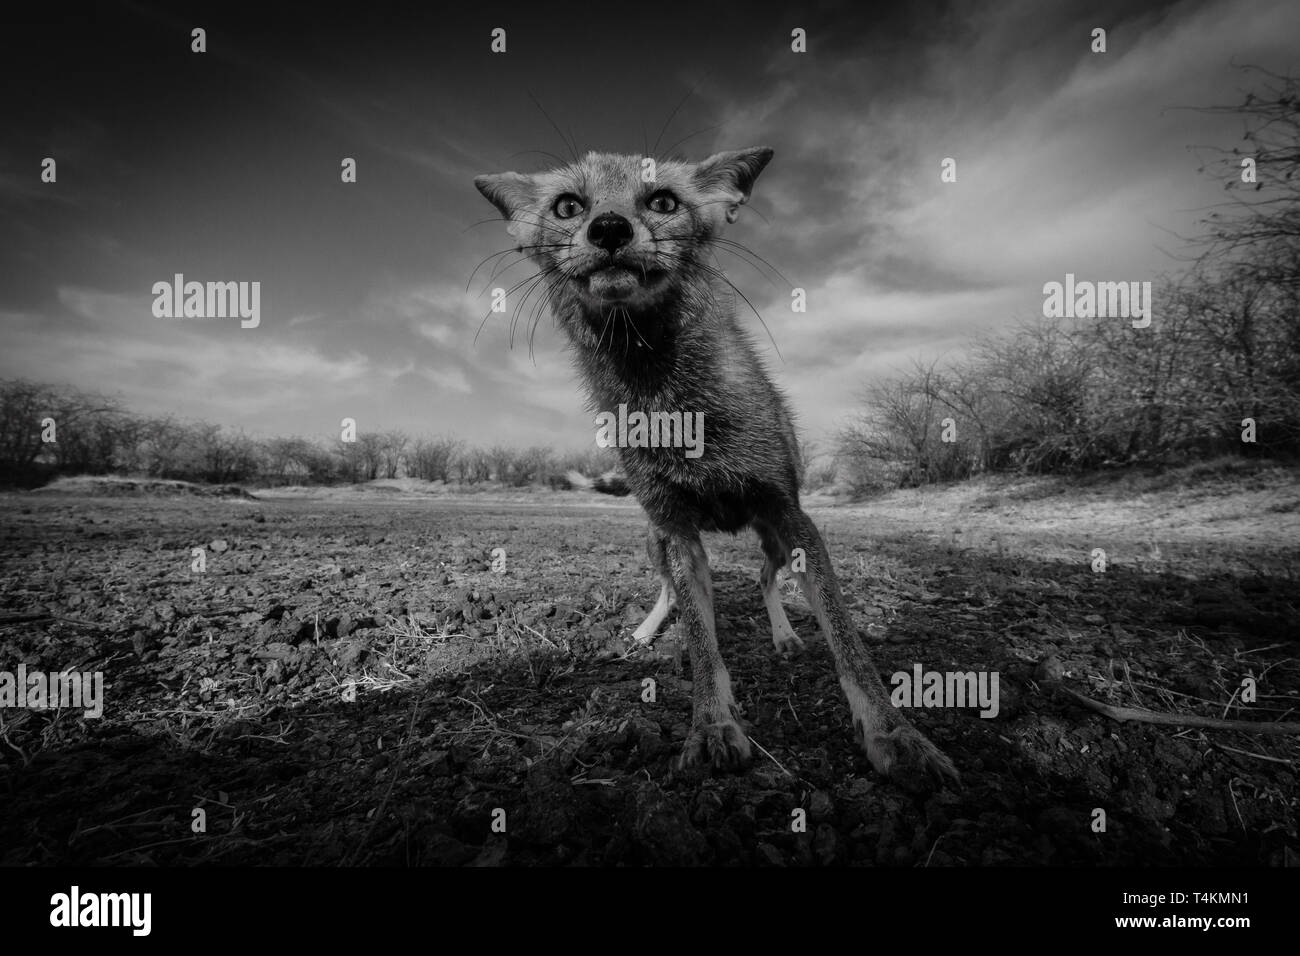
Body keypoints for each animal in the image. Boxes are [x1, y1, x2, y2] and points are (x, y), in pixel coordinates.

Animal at [475, 143, 956, 785]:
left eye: (663, 201)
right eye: (568, 206)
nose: (608, 229)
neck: (677, 412)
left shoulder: (791, 516)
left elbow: (847, 642)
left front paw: (892, 733)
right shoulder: (677, 530)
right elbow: (704, 646)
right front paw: (712, 726)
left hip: (771, 537)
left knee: (763, 579)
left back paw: (782, 635)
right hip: (655, 540)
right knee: (673, 594)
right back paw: (650, 631)